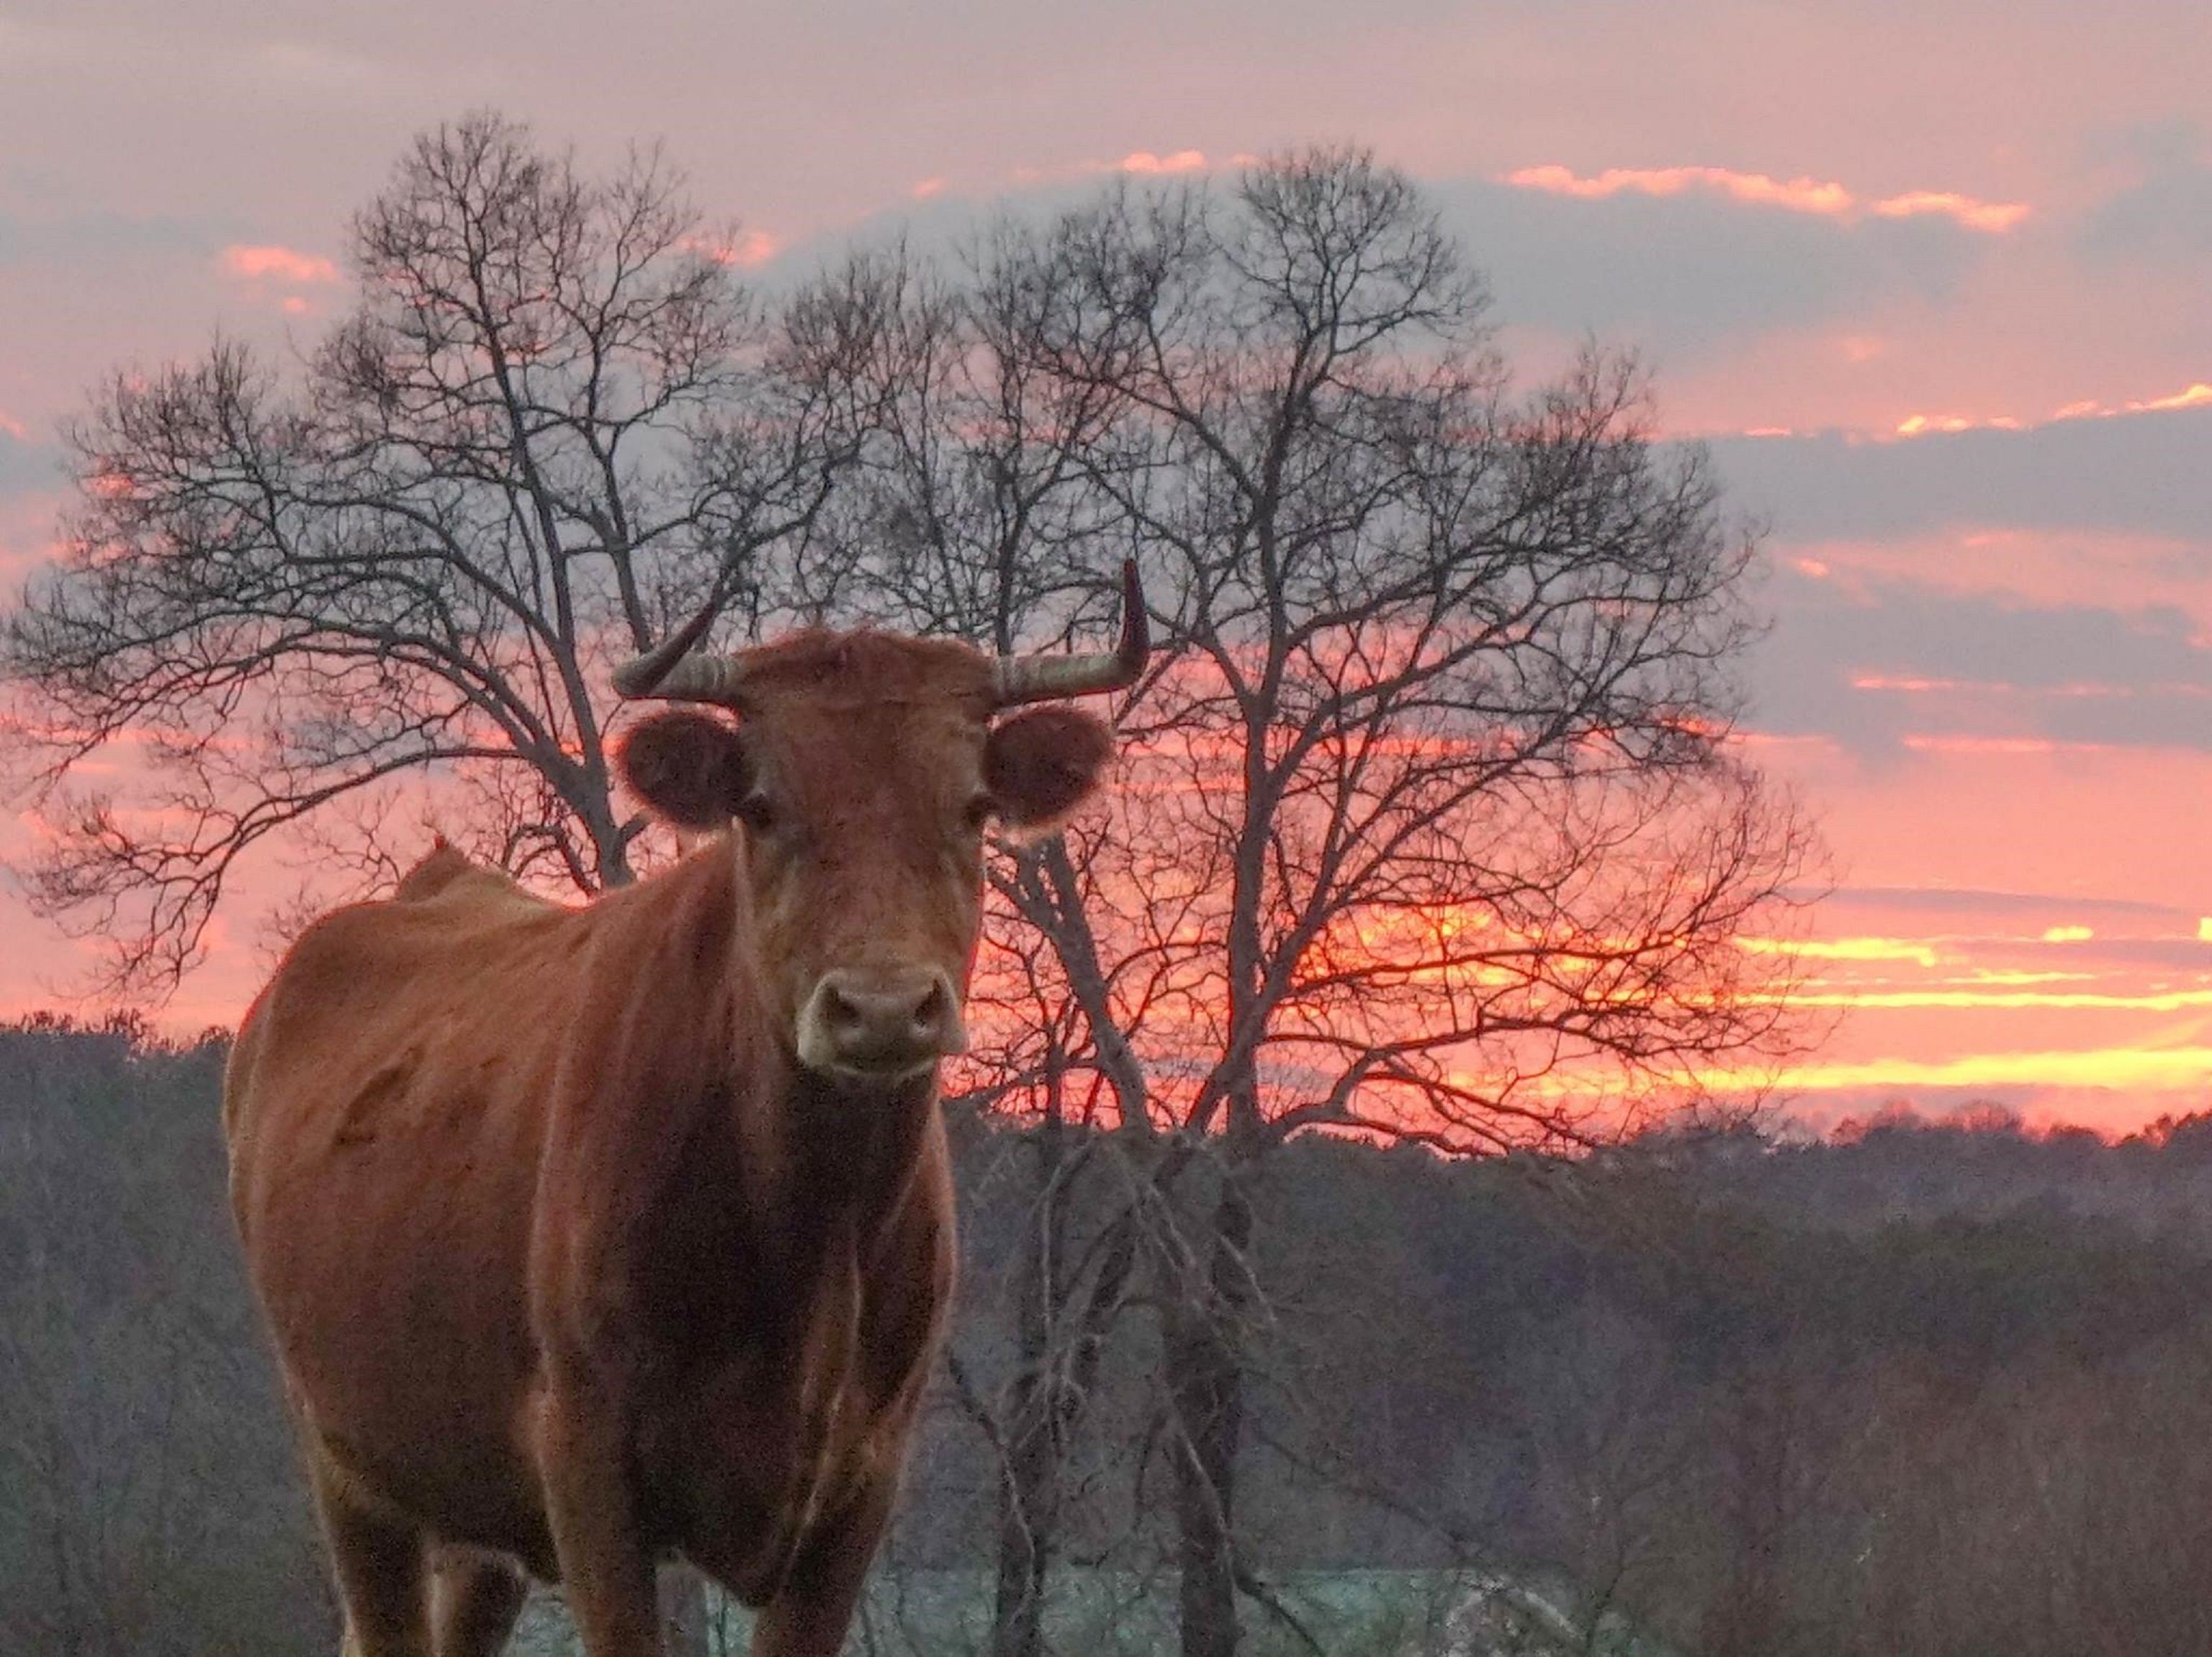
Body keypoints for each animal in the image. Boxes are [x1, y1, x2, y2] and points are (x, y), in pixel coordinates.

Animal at [223, 566, 1148, 1657]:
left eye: (971, 807)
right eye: (760, 804)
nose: (882, 1007)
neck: (808, 1229)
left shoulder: (862, 1480)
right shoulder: (584, 1454)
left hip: (473, 1520)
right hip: (349, 1464)